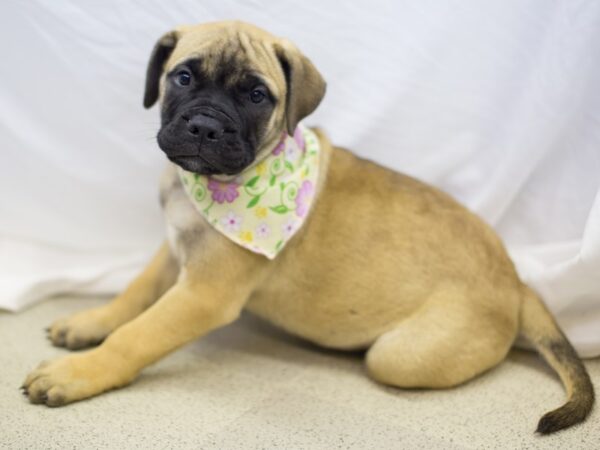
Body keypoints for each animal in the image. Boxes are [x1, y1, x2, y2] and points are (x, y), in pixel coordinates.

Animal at [22, 22, 592, 436]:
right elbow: (135, 294)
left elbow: (137, 336)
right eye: (182, 77)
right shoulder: (176, 249)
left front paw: (77, 374)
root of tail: (517, 281)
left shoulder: (204, 293)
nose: (205, 127)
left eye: (257, 95)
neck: (213, 187)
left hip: (398, 357)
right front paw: (89, 323)